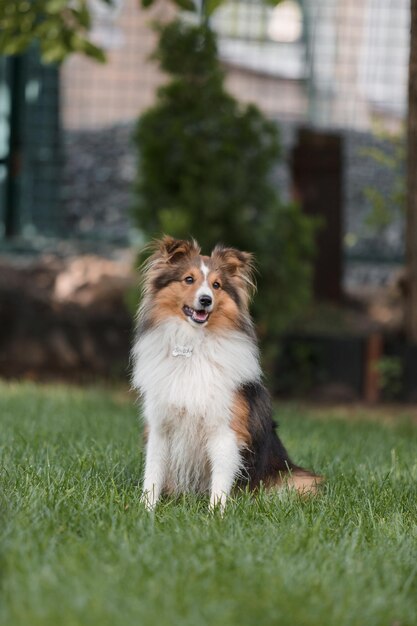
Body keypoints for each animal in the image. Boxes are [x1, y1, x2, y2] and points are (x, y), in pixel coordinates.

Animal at [132, 234, 320, 508]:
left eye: (217, 285)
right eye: (189, 279)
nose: (206, 300)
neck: (193, 346)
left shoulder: (225, 430)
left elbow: (220, 480)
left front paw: (215, 514)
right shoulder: (160, 427)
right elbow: (153, 473)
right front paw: (146, 509)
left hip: (298, 480)